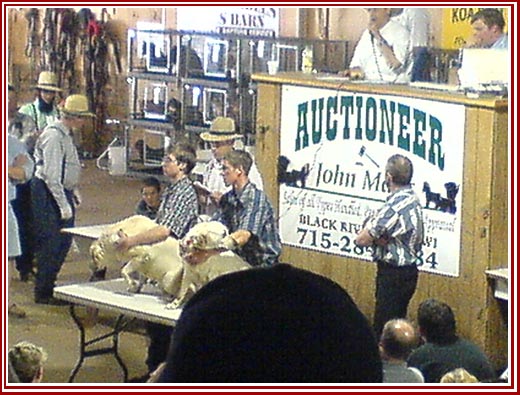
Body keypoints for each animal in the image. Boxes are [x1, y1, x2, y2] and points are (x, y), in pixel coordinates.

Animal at [89, 217, 250, 310]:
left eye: (93, 257)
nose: (92, 268)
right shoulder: (142, 264)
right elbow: (139, 276)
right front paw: (135, 287)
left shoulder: (141, 256)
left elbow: (124, 271)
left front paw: (132, 283)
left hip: (168, 279)